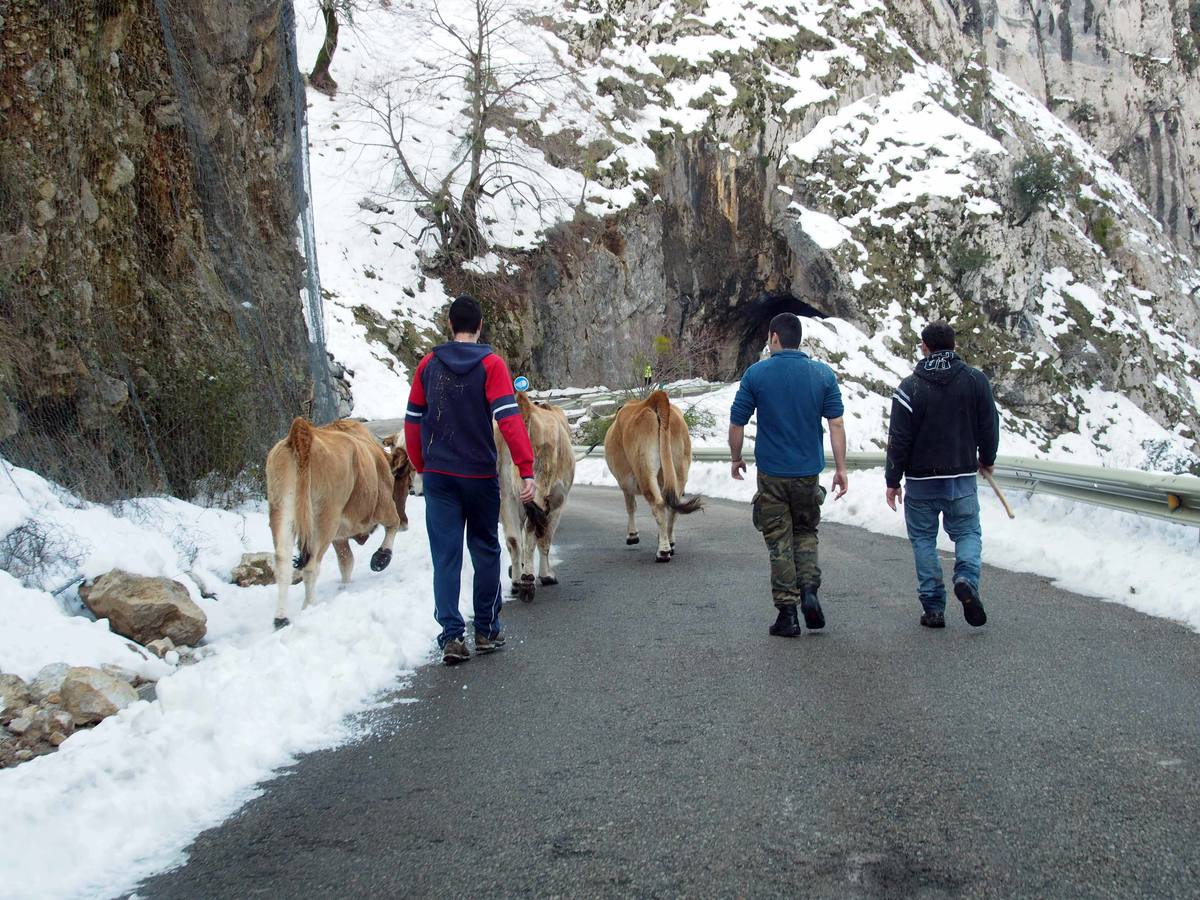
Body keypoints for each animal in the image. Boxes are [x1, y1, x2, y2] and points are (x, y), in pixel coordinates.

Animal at [264, 422, 410, 628]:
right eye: (407, 482)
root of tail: (301, 433)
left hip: (282, 511)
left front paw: (346, 585)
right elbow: (392, 525)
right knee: (311, 566)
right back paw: (309, 606)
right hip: (325, 519)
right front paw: (381, 558)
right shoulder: (384, 506)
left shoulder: (339, 537)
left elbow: (346, 562)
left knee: (283, 564)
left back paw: (281, 617)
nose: (406, 523)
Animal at [494, 393, 573, 600]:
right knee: (531, 532)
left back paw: (516, 582)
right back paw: (528, 580)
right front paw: (547, 576)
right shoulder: (557, 502)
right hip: (537, 487)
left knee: (514, 539)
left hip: (506, 496)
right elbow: (545, 538)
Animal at [600, 388, 700, 561]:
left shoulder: (625, 481)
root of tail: (652, 400)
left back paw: (663, 551)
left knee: (658, 504)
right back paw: (669, 543)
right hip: (680, 467)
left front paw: (632, 535)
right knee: (673, 505)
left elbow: (631, 506)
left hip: (644, 468)